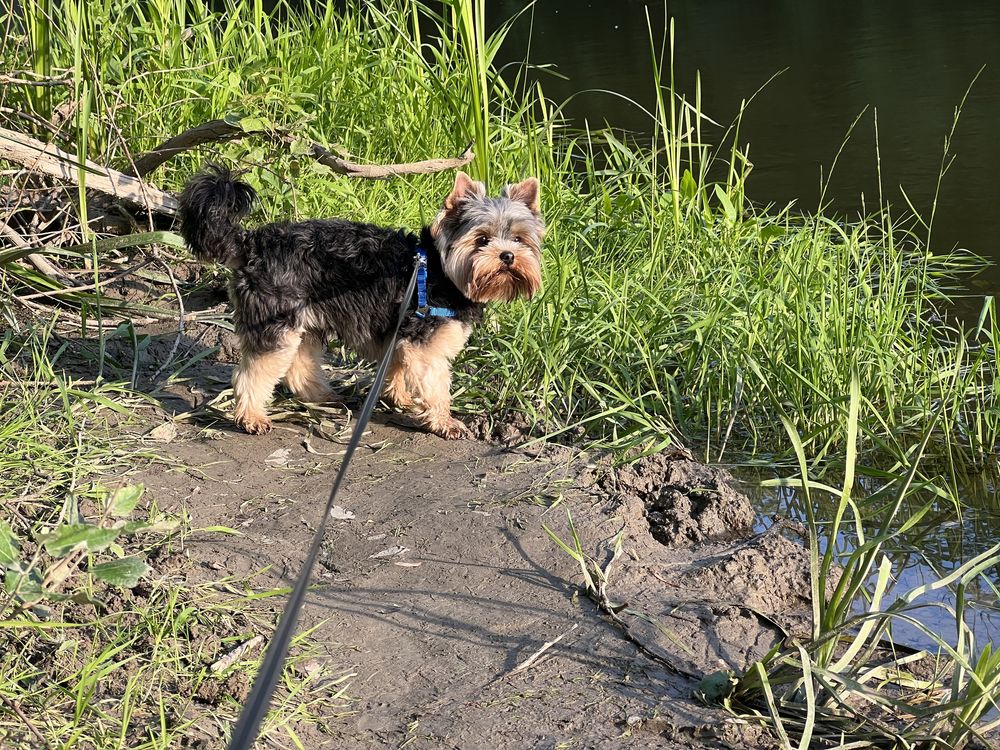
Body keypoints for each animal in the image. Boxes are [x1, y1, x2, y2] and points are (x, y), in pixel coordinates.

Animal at [176, 162, 544, 438]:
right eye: (481, 239)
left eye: (518, 238)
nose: (508, 256)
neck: (440, 269)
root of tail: (251, 244)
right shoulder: (426, 345)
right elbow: (435, 385)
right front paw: (443, 421)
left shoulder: (400, 333)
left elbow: (397, 367)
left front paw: (401, 398)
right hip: (275, 321)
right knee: (253, 372)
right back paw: (251, 417)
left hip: (303, 321)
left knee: (298, 364)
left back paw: (323, 397)